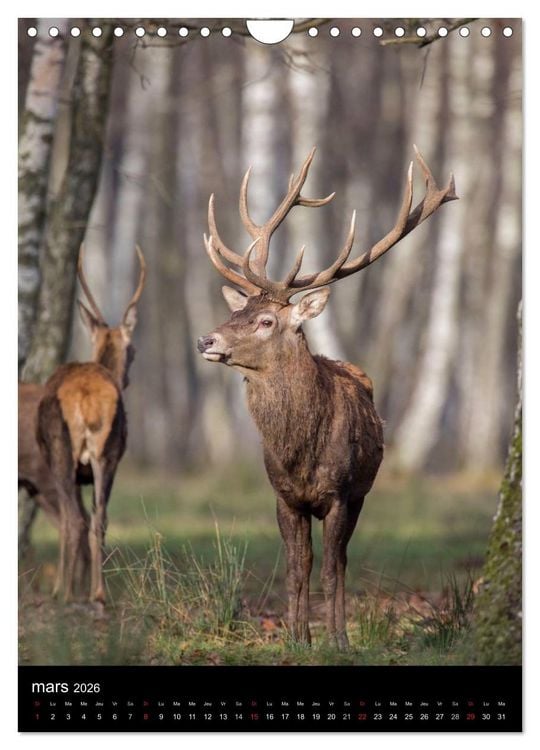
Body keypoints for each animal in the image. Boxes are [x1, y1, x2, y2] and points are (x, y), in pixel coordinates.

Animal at [35, 246, 146, 605]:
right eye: (133, 350)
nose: (127, 377)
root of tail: (84, 400)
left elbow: (71, 520)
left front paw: (66, 586)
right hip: (105, 453)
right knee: (97, 518)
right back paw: (96, 593)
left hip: (62, 451)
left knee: (72, 520)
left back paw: (65, 592)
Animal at [197, 146, 457, 649]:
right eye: (236, 311)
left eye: (266, 321)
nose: (206, 340)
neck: (300, 452)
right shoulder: (285, 496)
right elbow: (298, 567)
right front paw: (298, 638)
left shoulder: (338, 493)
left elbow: (333, 570)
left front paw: (337, 640)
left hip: (361, 494)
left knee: (345, 560)